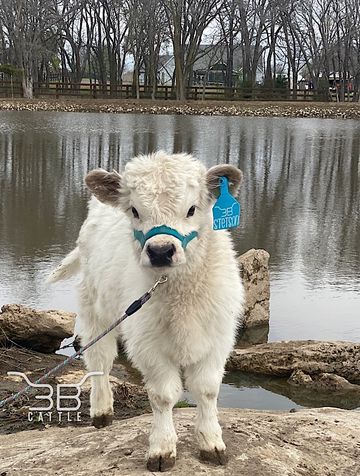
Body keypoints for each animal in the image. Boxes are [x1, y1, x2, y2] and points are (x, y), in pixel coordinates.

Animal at [50, 151, 245, 470]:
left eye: (192, 209)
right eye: (134, 210)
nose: (161, 251)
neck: (179, 294)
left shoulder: (217, 338)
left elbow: (206, 389)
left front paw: (212, 444)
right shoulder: (148, 344)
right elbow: (163, 396)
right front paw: (162, 450)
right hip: (95, 308)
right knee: (99, 359)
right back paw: (101, 411)